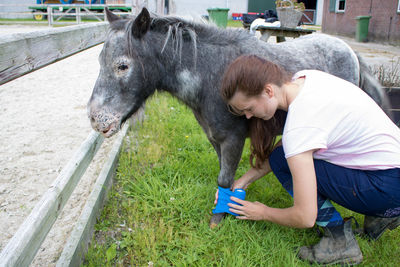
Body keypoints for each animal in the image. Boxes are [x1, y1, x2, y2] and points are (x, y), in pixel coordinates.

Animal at [87, 8, 390, 226]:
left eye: (123, 66)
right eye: (99, 62)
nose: (96, 119)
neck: (211, 74)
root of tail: (350, 52)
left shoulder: (233, 139)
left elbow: (224, 179)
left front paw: (217, 220)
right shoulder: (216, 139)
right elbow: (226, 175)